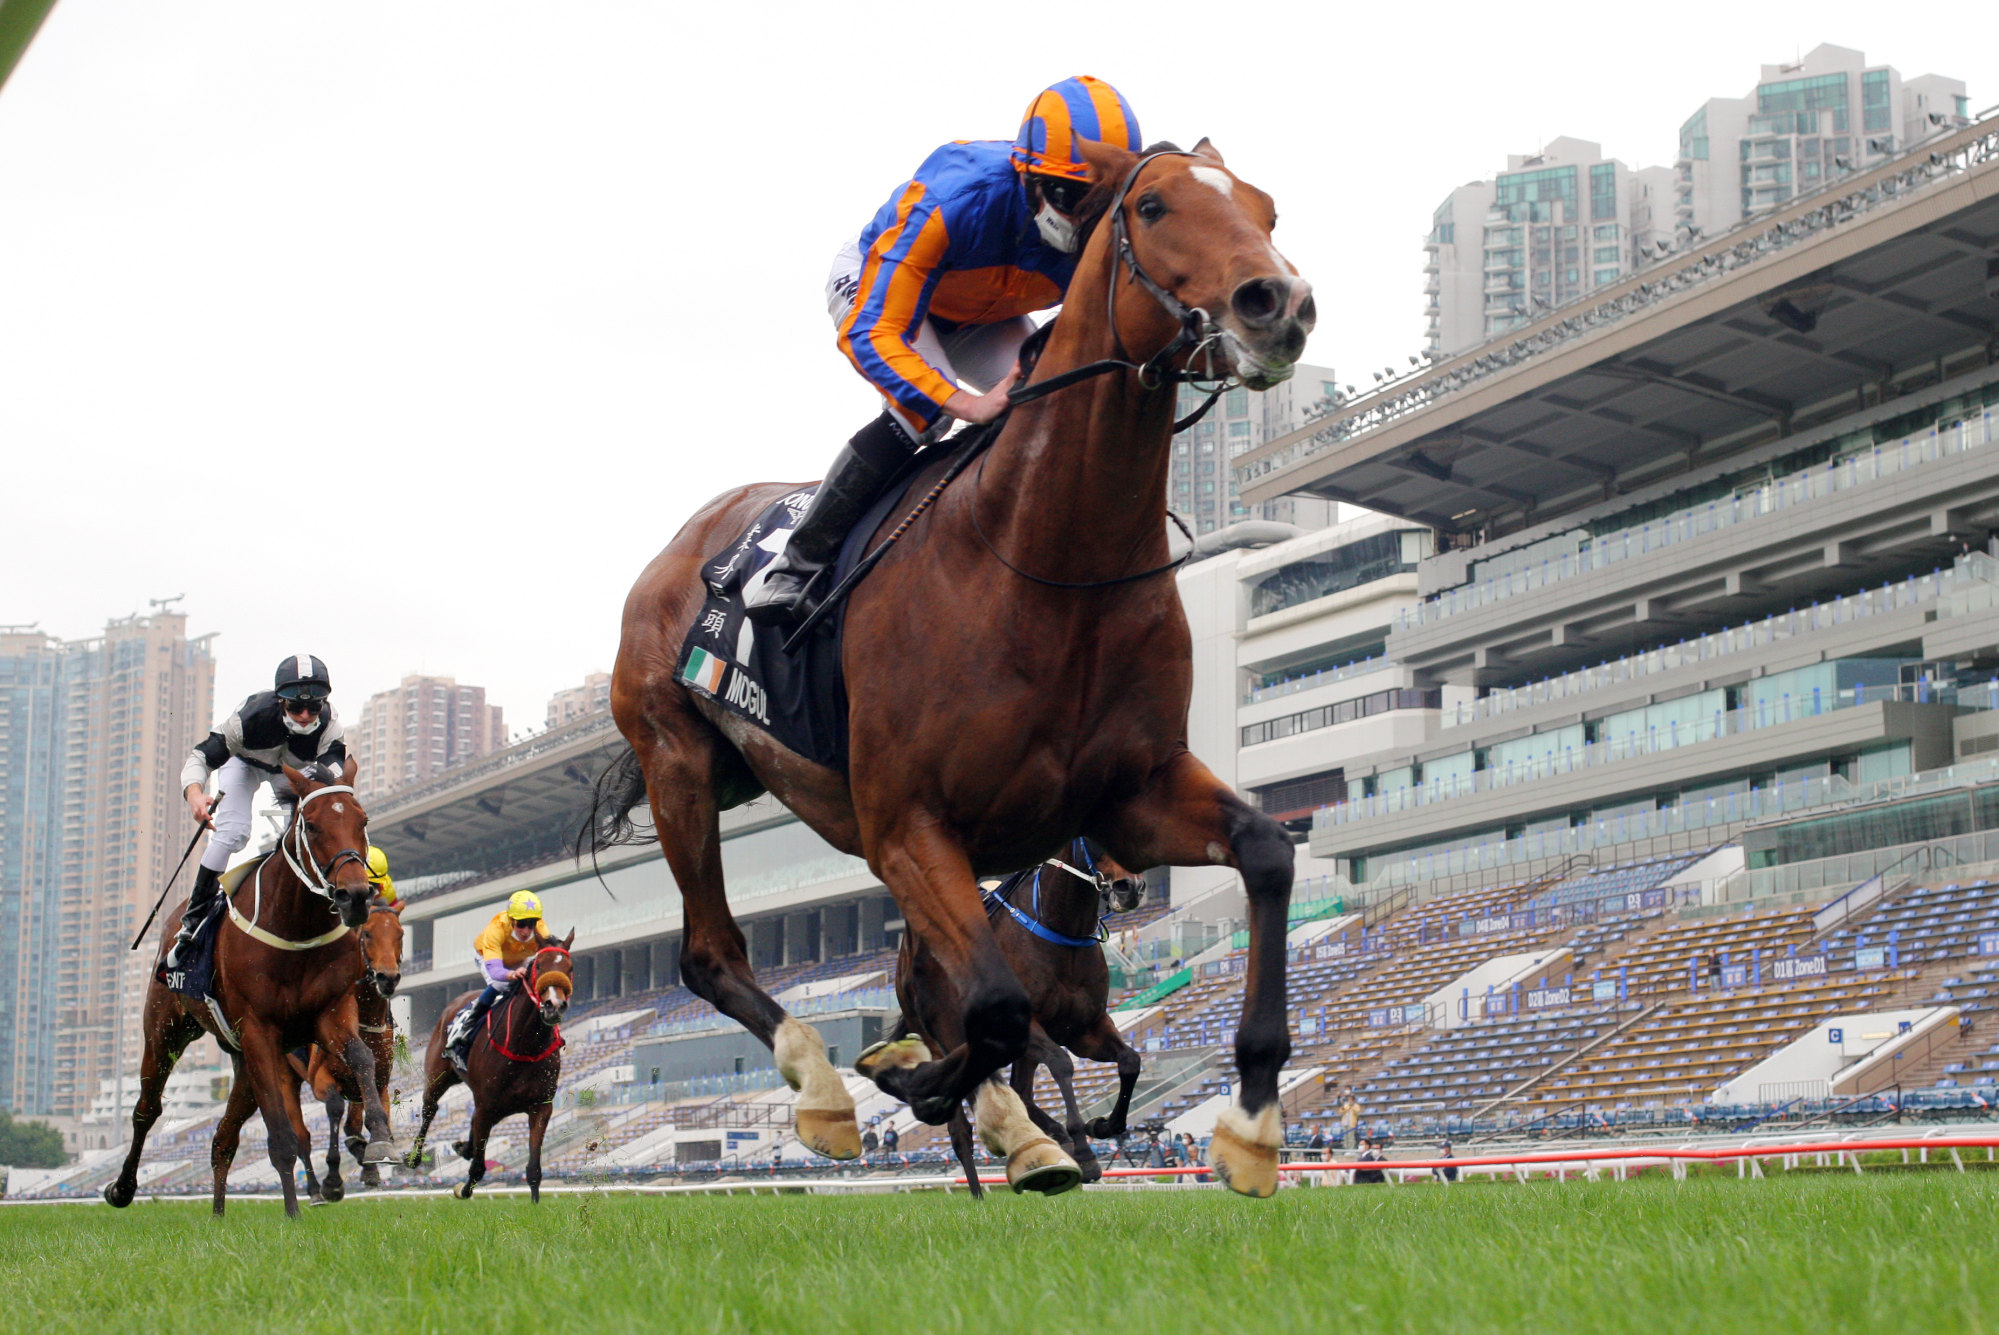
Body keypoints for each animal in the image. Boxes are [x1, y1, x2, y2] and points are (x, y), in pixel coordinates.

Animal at [287, 895, 403, 1199]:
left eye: (400, 934)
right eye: (367, 934)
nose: (388, 977)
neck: (364, 1021)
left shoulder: (379, 1081)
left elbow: (366, 1118)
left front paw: (375, 1154)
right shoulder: (320, 1079)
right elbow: (335, 1108)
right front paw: (332, 1179)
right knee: (300, 1136)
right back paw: (315, 1190)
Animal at [397, 935, 571, 1207]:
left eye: (570, 968)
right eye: (539, 965)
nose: (554, 1006)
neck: (525, 1045)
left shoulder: (540, 1106)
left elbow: (533, 1167)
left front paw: (535, 1203)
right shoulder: (487, 1106)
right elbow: (478, 1167)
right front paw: (464, 1189)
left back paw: (463, 1147)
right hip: (439, 1076)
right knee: (429, 1109)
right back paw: (415, 1156)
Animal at [899, 835, 1151, 1199]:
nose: (1129, 887)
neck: (1061, 931)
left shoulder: (1087, 1027)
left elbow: (1130, 1061)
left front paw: (1101, 1125)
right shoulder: (1022, 1027)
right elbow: (1061, 1063)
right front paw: (1085, 1153)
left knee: (1021, 1091)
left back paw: (1053, 1139)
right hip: (940, 1040)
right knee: (961, 1128)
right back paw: (978, 1194)